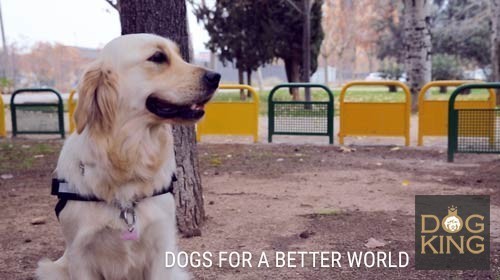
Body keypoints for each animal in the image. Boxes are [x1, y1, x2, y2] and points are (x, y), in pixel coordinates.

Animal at [36, 34, 220, 280]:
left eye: (179, 55)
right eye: (158, 57)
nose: (216, 77)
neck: (129, 156)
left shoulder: (162, 247)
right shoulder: (80, 255)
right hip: (52, 269)